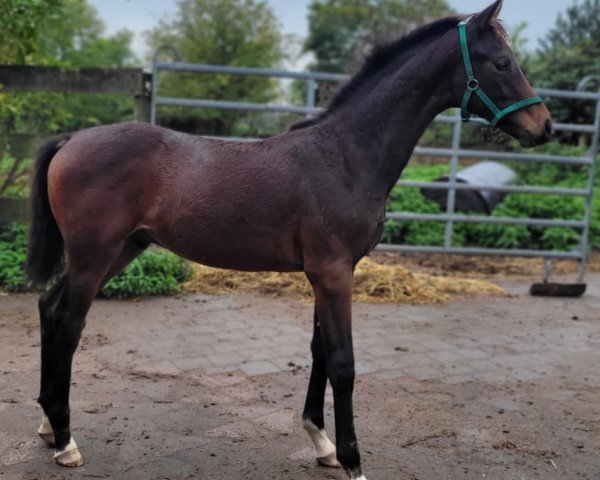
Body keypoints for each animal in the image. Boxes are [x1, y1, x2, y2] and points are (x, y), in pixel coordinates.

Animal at [27, 1, 552, 478]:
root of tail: (71, 140)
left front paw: (321, 443)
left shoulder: (328, 273)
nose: (544, 125)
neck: (346, 154)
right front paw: (353, 460)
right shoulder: (334, 273)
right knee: (67, 321)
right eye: (501, 63)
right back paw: (67, 441)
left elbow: (319, 350)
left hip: (122, 249)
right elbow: (343, 362)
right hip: (95, 255)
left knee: (50, 309)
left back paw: (49, 426)